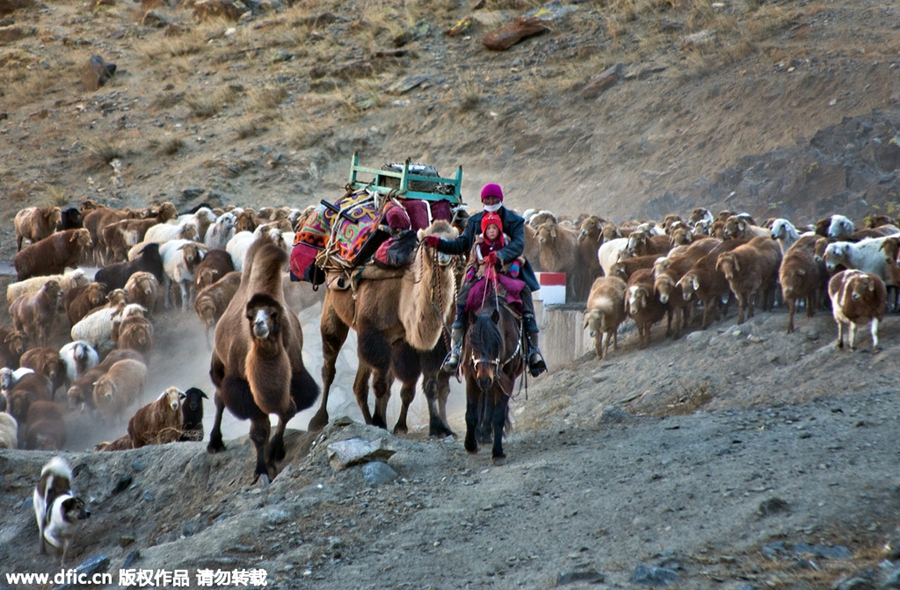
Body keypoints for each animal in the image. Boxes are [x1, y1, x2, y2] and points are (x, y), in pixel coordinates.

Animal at [207, 235, 320, 486]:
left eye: (274, 314)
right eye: (250, 316)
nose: (260, 325)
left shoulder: (295, 376)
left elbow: (287, 411)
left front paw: (275, 452)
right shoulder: (242, 386)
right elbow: (259, 431)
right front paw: (261, 469)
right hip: (219, 363)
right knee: (219, 397)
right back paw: (214, 443)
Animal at [460, 278, 524, 468]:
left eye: (497, 344)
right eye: (473, 344)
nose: (484, 379)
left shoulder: (507, 378)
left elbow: (498, 416)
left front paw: (498, 453)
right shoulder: (471, 377)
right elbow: (471, 414)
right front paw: (470, 444)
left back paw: (486, 434)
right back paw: (482, 434)